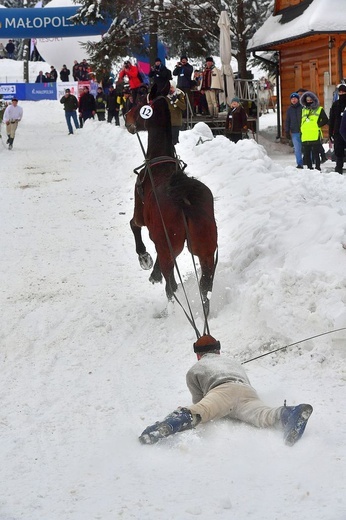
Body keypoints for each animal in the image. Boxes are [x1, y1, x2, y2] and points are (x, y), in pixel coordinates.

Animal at [124, 83, 218, 314]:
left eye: (139, 100)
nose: (126, 117)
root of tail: (183, 198)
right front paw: (153, 272)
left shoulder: (140, 214)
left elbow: (133, 225)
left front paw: (145, 259)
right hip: (206, 251)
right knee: (205, 287)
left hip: (170, 248)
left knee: (172, 285)